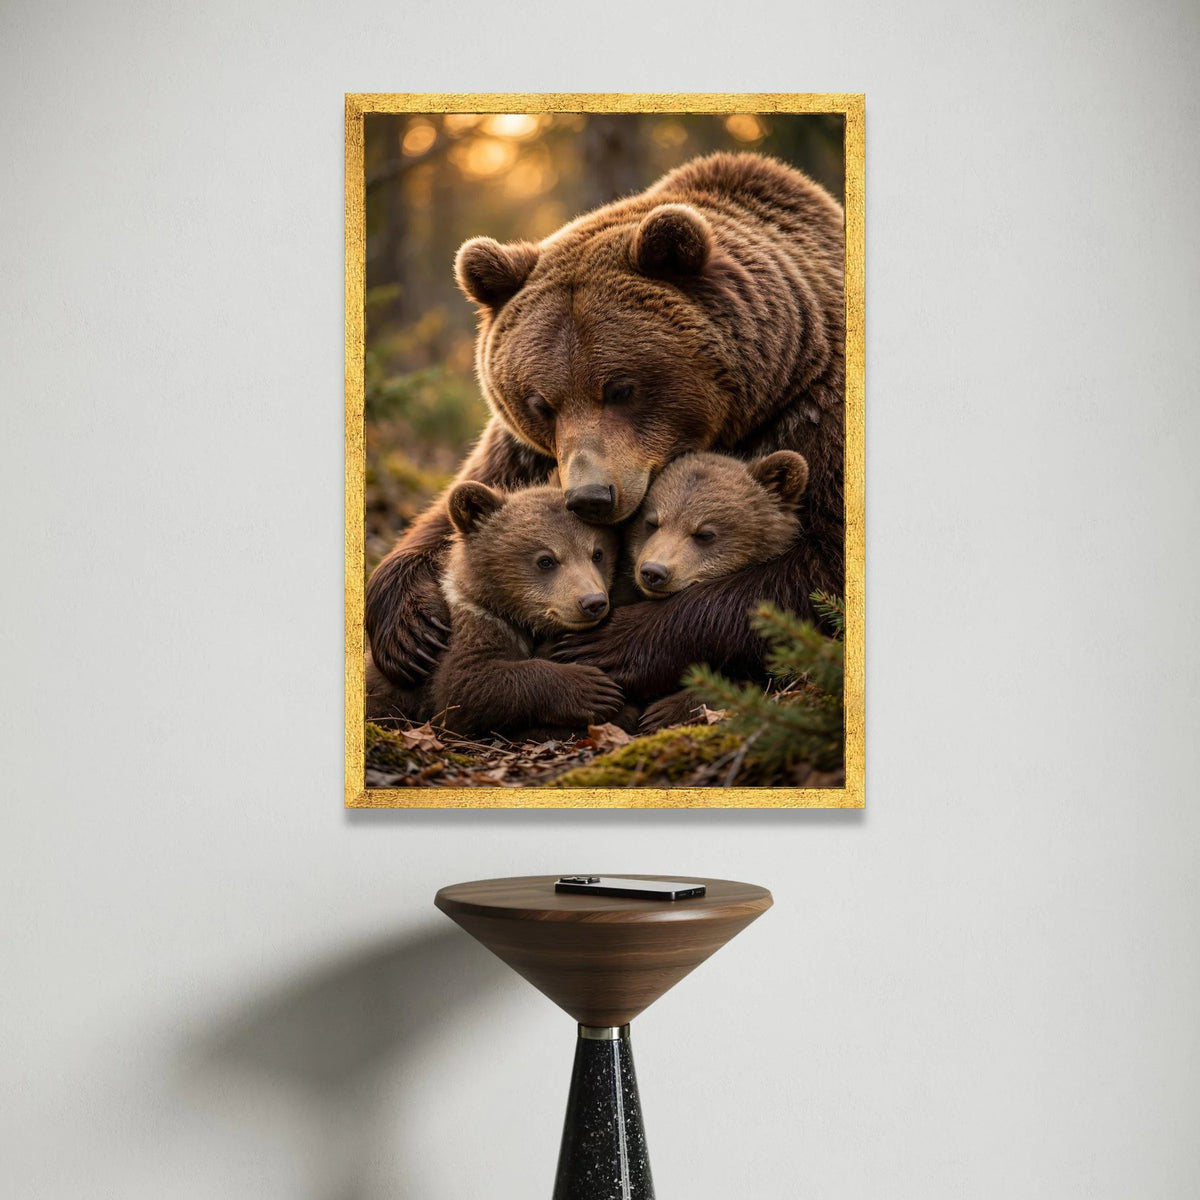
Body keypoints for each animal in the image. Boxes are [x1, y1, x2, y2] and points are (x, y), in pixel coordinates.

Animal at [365, 481, 624, 738]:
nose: (592, 602)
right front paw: (594, 690)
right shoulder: (470, 625)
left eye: (597, 553)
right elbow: (466, 685)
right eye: (546, 560)